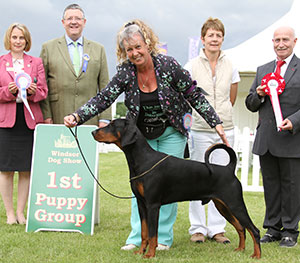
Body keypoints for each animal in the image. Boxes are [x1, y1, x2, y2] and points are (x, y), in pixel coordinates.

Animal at [91, 119, 260, 260]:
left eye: (113, 125)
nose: (93, 132)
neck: (142, 160)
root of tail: (229, 169)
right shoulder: (141, 204)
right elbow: (144, 232)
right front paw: (140, 252)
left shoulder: (153, 205)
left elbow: (152, 234)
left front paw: (150, 255)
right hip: (223, 206)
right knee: (241, 228)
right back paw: (240, 249)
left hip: (235, 204)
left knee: (253, 229)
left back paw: (256, 255)